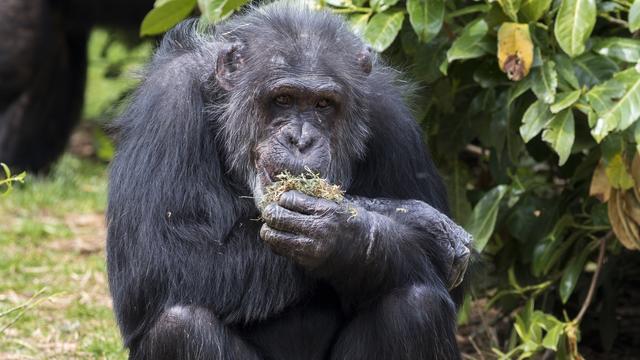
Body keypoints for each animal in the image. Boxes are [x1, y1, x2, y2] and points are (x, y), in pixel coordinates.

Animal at [106, 3, 470, 360]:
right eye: (282, 99)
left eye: (324, 104)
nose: (301, 139)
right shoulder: (167, 102)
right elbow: (158, 259)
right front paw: (425, 228)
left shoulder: (393, 117)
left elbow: (454, 289)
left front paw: (347, 234)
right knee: (181, 326)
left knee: (417, 307)